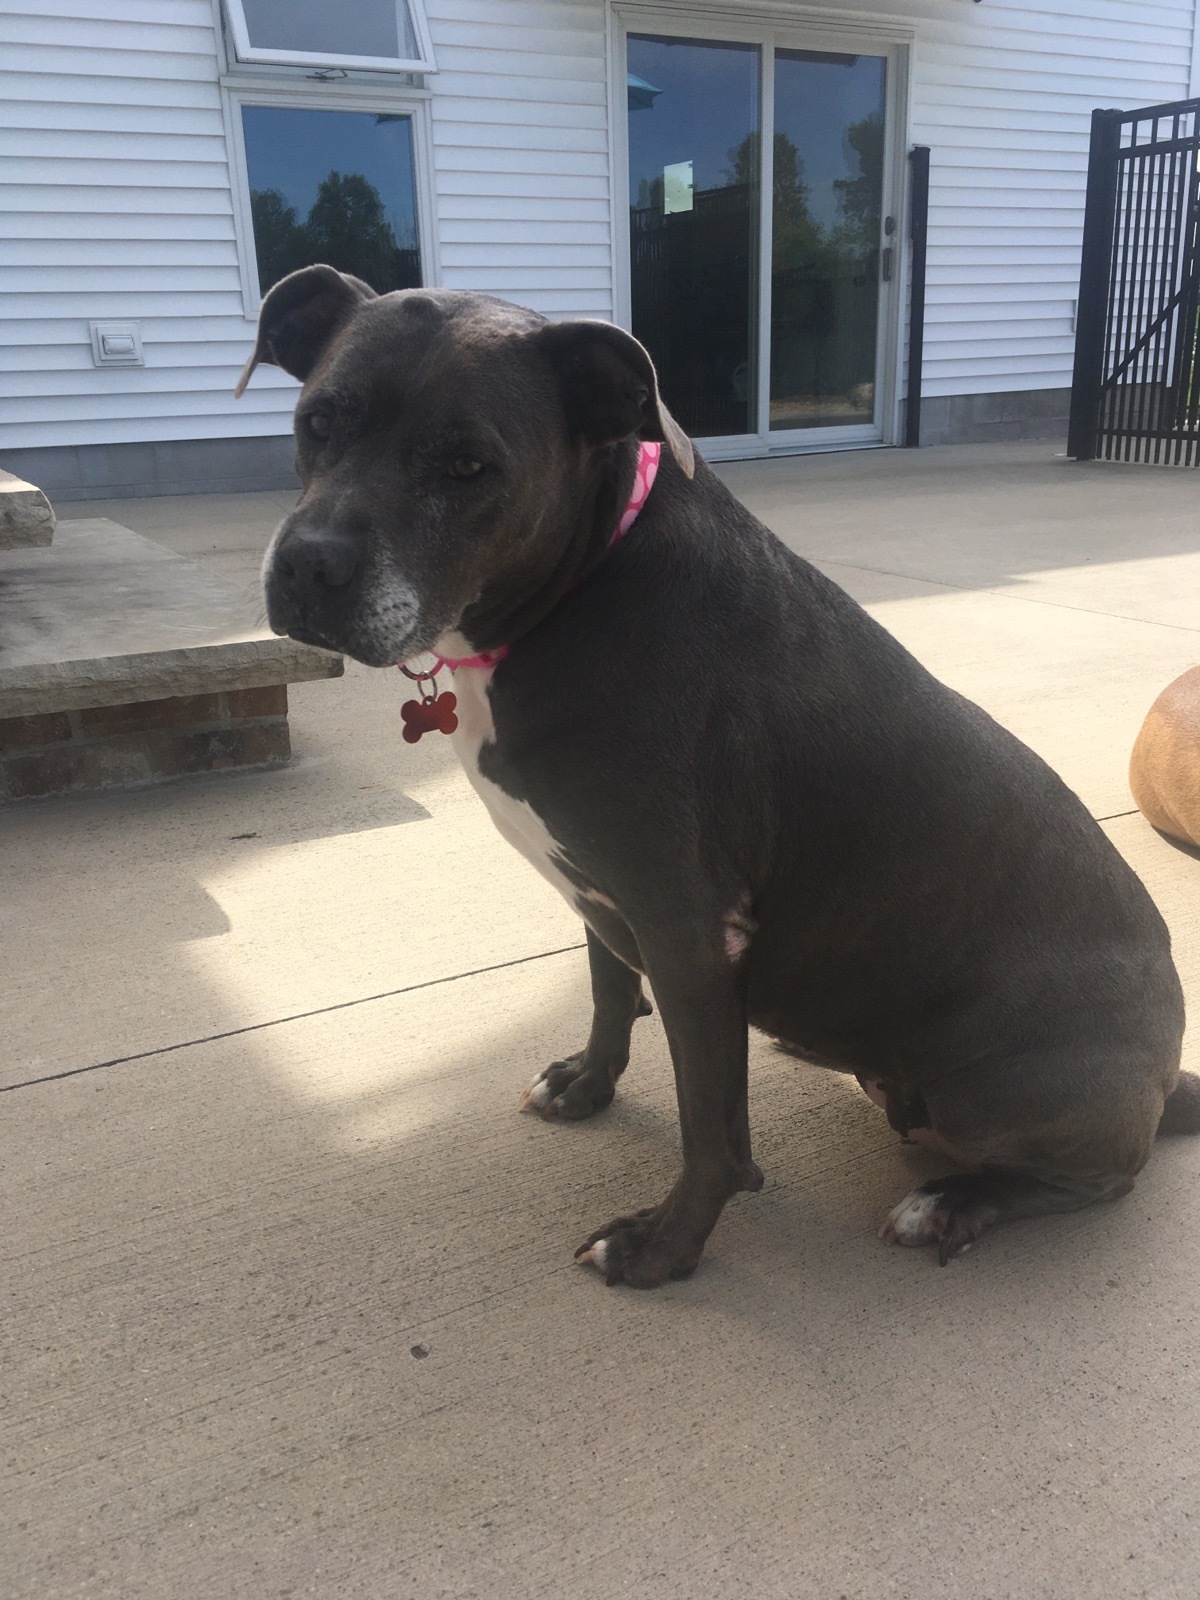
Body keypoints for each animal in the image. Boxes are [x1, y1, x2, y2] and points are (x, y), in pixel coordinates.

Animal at [240, 265, 1196, 1286]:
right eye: (317, 421)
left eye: (468, 465)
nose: (308, 567)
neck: (579, 582)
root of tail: (1164, 1072)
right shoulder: (601, 886)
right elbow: (608, 993)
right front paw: (587, 1086)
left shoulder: (687, 928)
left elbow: (712, 1130)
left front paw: (663, 1248)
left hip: (1000, 1085)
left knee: (1108, 1176)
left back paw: (952, 1204)